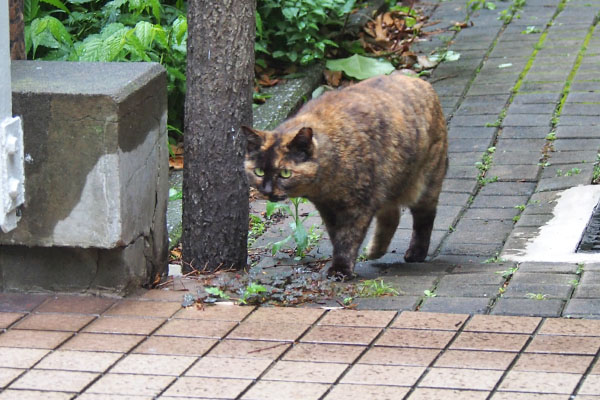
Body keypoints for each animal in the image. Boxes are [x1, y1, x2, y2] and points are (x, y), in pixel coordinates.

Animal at [243, 72, 446, 276]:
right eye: (259, 171)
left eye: (285, 173)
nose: (267, 190)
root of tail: (417, 79)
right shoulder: (328, 209)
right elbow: (336, 237)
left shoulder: (358, 206)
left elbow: (348, 238)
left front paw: (341, 269)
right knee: (392, 214)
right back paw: (375, 251)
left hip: (426, 183)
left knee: (424, 217)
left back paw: (416, 252)